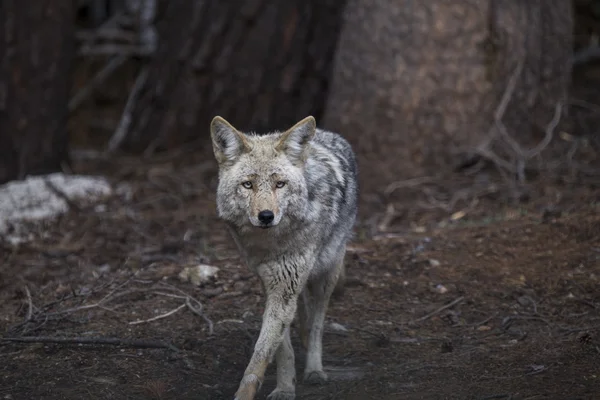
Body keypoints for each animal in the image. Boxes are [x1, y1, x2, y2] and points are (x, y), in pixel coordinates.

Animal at [211, 114, 358, 398]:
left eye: (280, 184)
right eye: (248, 185)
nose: (266, 216)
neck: (272, 244)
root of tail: (327, 133)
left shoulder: (287, 282)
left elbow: (263, 350)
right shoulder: (270, 280)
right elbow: (281, 347)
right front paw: (285, 388)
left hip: (327, 274)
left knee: (317, 323)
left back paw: (314, 369)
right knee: (303, 312)